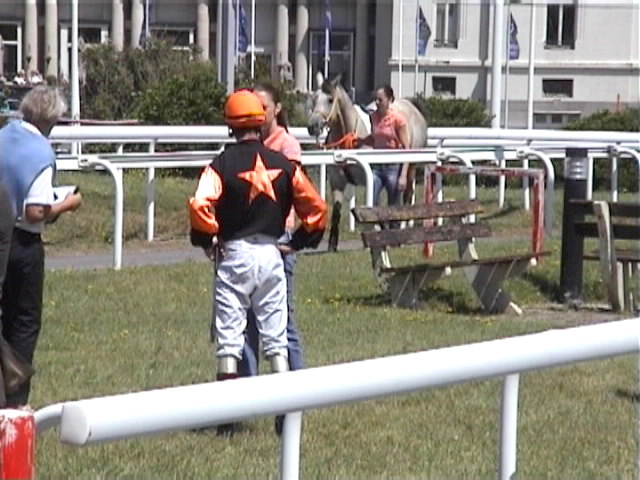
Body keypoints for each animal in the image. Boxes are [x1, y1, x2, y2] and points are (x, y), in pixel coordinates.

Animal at [307, 73, 429, 252]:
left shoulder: (370, 177)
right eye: (314, 98)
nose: (312, 126)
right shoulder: (337, 182)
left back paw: (403, 229)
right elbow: (337, 210)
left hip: (411, 167)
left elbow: (374, 204)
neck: (350, 136)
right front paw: (332, 245)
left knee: (407, 194)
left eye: (330, 99)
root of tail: (412, 107)